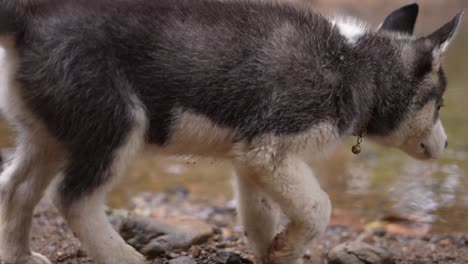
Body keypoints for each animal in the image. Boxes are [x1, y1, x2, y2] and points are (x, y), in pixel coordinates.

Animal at [0, 0, 460, 264]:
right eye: (439, 104)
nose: (447, 144)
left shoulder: (252, 157)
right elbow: (319, 207)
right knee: (72, 199)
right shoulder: (271, 148)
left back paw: (20, 255)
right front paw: (291, 246)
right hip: (117, 124)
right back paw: (122, 257)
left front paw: (275, 251)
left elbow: (259, 216)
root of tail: (30, 17)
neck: (355, 63)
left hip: (51, 134)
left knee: (15, 188)